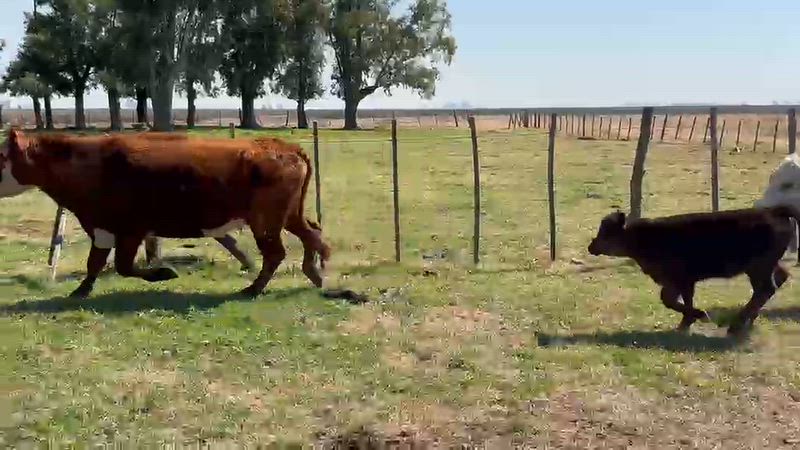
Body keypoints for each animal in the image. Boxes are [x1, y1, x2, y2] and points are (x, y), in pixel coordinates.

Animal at [0, 128, 331, 298]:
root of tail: (282, 146)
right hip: (288, 214)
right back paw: (314, 272)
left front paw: (163, 273)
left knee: (276, 252)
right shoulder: (102, 227)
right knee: (312, 233)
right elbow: (94, 263)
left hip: (265, 219)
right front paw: (81, 290)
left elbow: (123, 266)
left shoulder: (131, 229)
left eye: (1, 155)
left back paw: (253, 288)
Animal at [587, 207, 799, 336]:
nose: (591, 246)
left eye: (606, 232)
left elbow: (677, 300)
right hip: (765, 266)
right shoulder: (674, 281)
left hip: (758, 267)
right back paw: (746, 322)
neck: (641, 238)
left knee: (766, 288)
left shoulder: (683, 279)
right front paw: (685, 324)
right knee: (778, 279)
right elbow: (671, 300)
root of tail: (775, 211)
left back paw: (736, 326)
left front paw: (698, 316)